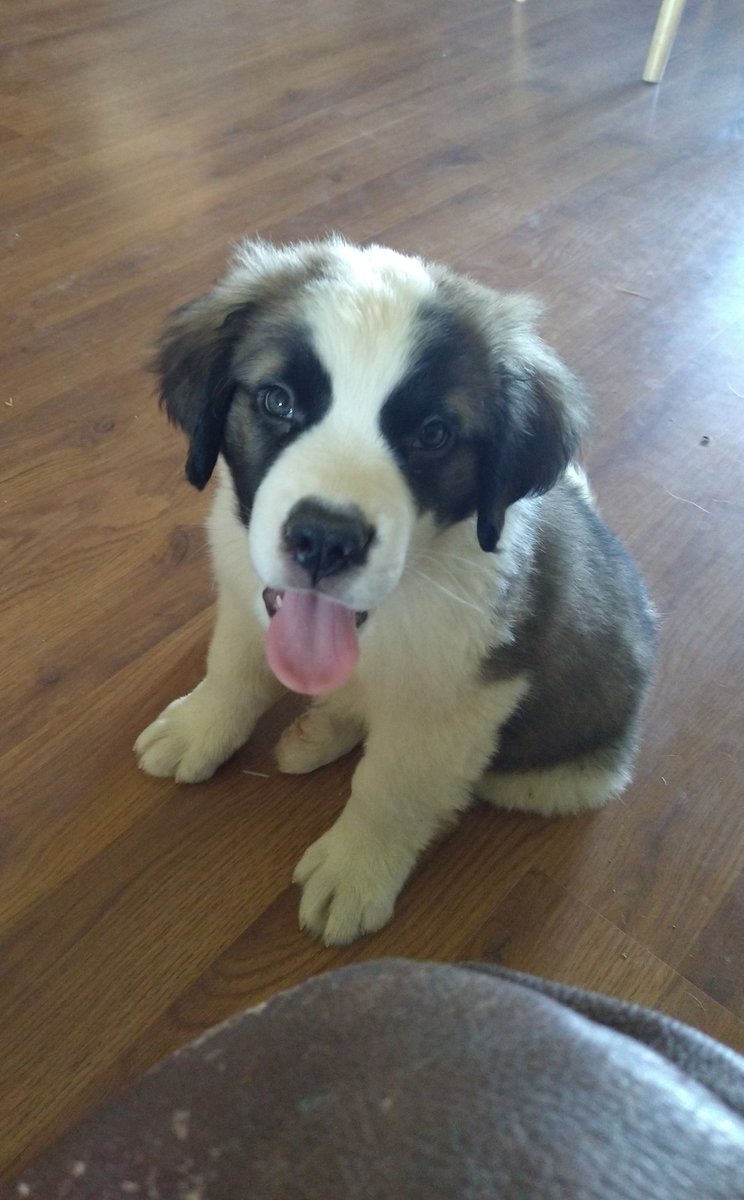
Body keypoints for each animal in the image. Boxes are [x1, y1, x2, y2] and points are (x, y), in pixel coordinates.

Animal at [135, 236, 657, 945]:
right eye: (277, 402)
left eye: (433, 434)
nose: (325, 540)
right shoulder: (245, 591)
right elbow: (235, 668)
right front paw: (201, 725)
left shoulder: (463, 700)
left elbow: (393, 787)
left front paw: (357, 867)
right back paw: (321, 728)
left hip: (554, 776)